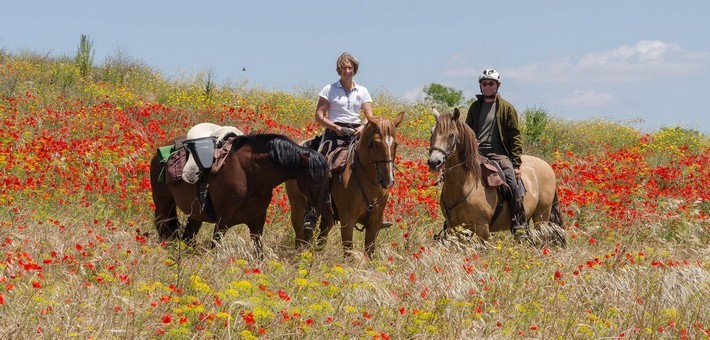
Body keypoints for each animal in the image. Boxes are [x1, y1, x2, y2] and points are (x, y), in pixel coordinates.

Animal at [149, 131, 332, 256]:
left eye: (329, 178)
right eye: (313, 180)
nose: (323, 210)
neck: (249, 174)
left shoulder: (257, 222)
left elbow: (259, 252)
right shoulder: (222, 221)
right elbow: (215, 247)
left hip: (196, 214)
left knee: (188, 235)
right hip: (163, 204)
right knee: (163, 227)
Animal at [286, 111, 406, 258]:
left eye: (396, 144)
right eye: (376, 143)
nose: (388, 180)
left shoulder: (374, 223)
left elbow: (369, 253)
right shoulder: (347, 220)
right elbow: (348, 253)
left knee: (321, 232)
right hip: (297, 205)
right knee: (300, 233)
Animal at [426, 107, 564, 243]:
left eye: (451, 135)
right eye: (432, 133)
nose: (434, 162)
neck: (465, 183)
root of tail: (547, 167)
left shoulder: (482, 228)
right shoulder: (453, 227)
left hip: (541, 217)